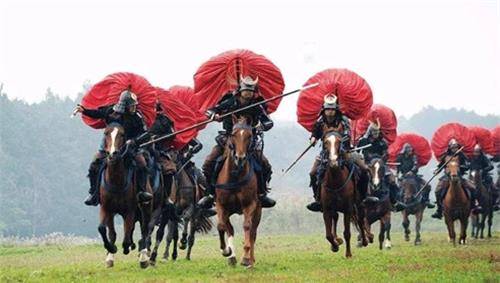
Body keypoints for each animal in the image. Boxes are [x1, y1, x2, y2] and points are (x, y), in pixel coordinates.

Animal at [95, 123, 152, 268]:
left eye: (122, 134)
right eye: (106, 133)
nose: (112, 154)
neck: (116, 181)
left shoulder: (129, 211)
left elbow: (126, 236)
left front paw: (126, 248)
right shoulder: (106, 209)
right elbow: (105, 230)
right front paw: (111, 251)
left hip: (145, 208)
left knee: (144, 230)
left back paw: (143, 257)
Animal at [216, 115, 262, 268]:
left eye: (249, 136)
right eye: (233, 134)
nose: (240, 158)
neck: (235, 176)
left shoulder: (250, 205)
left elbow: (247, 227)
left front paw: (246, 258)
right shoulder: (221, 205)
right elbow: (221, 226)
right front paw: (226, 251)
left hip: (258, 210)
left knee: (253, 232)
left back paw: (250, 261)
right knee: (229, 228)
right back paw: (231, 257)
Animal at [320, 127, 368, 260]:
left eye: (339, 142)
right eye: (325, 142)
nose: (333, 162)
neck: (335, 181)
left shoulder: (348, 209)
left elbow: (347, 233)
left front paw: (348, 254)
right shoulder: (326, 209)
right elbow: (328, 235)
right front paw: (335, 246)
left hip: (359, 204)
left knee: (361, 219)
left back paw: (365, 240)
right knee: (336, 218)